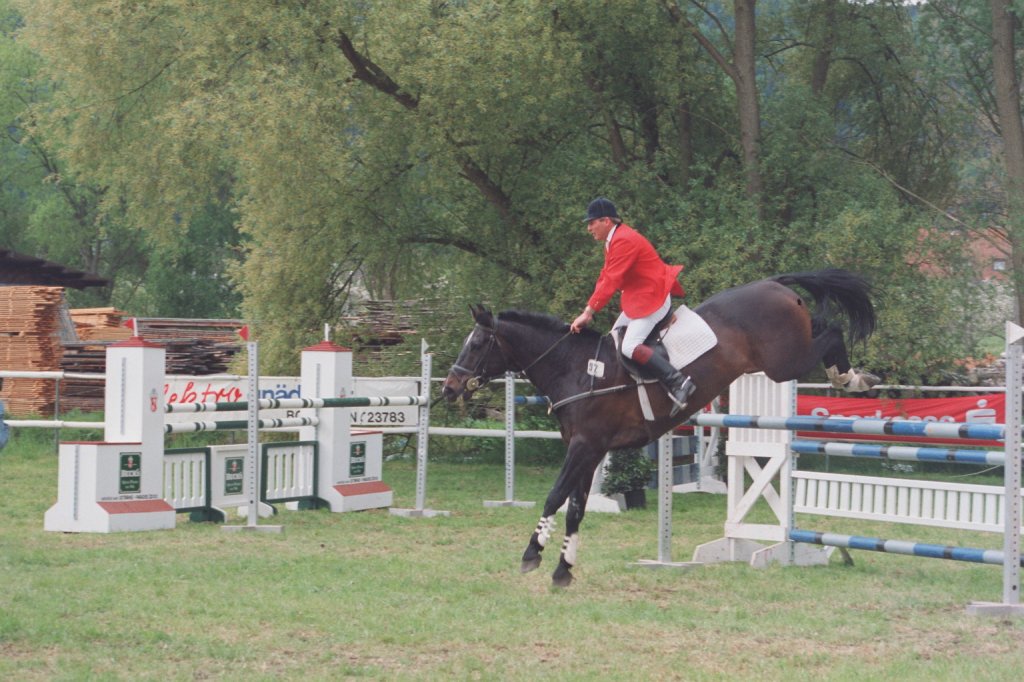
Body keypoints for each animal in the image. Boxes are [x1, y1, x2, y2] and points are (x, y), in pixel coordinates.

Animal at [440, 266, 880, 585]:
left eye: (476, 345)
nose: (449, 388)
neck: (576, 369)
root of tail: (773, 284)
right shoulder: (590, 450)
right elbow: (576, 508)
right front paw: (564, 569)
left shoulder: (585, 445)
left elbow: (554, 497)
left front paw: (533, 553)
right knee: (825, 328)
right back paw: (853, 376)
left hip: (783, 363)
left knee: (831, 331)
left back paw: (852, 378)